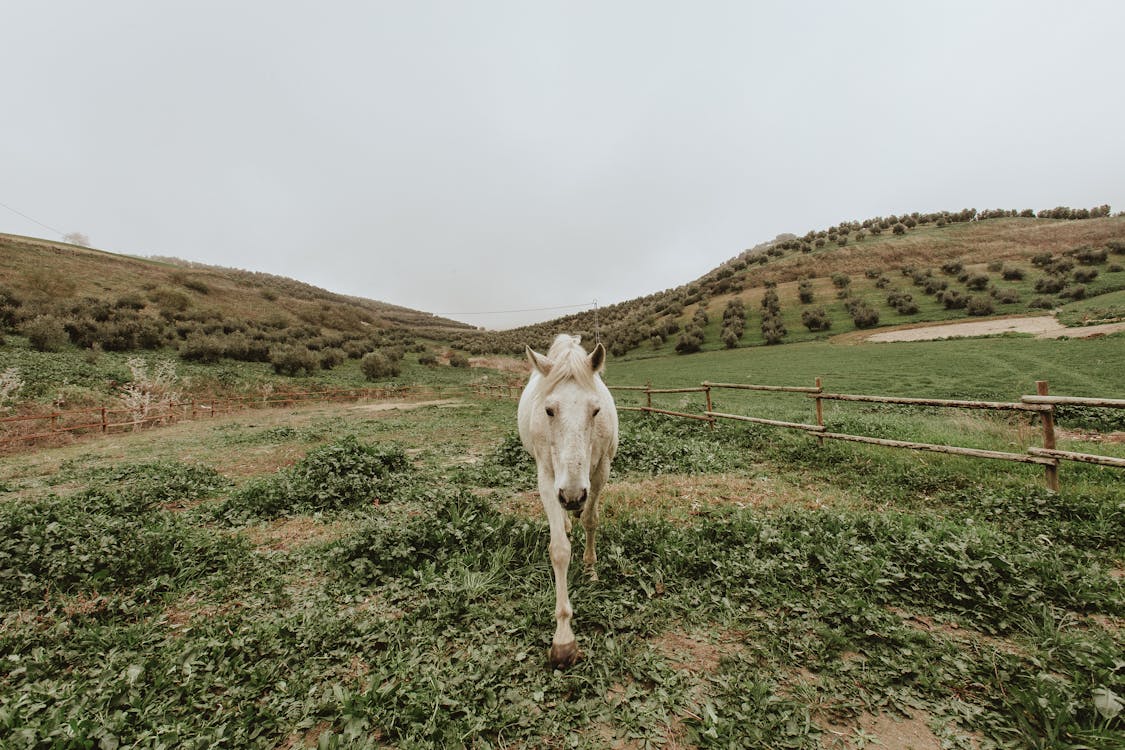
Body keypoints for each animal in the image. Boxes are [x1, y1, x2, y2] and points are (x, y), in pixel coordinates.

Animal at [515, 335, 621, 670]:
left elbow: (591, 520)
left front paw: (590, 569)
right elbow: (559, 549)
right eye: (549, 410)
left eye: (596, 410)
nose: (573, 496)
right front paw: (563, 638)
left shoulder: (600, 472)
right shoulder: (547, 477)